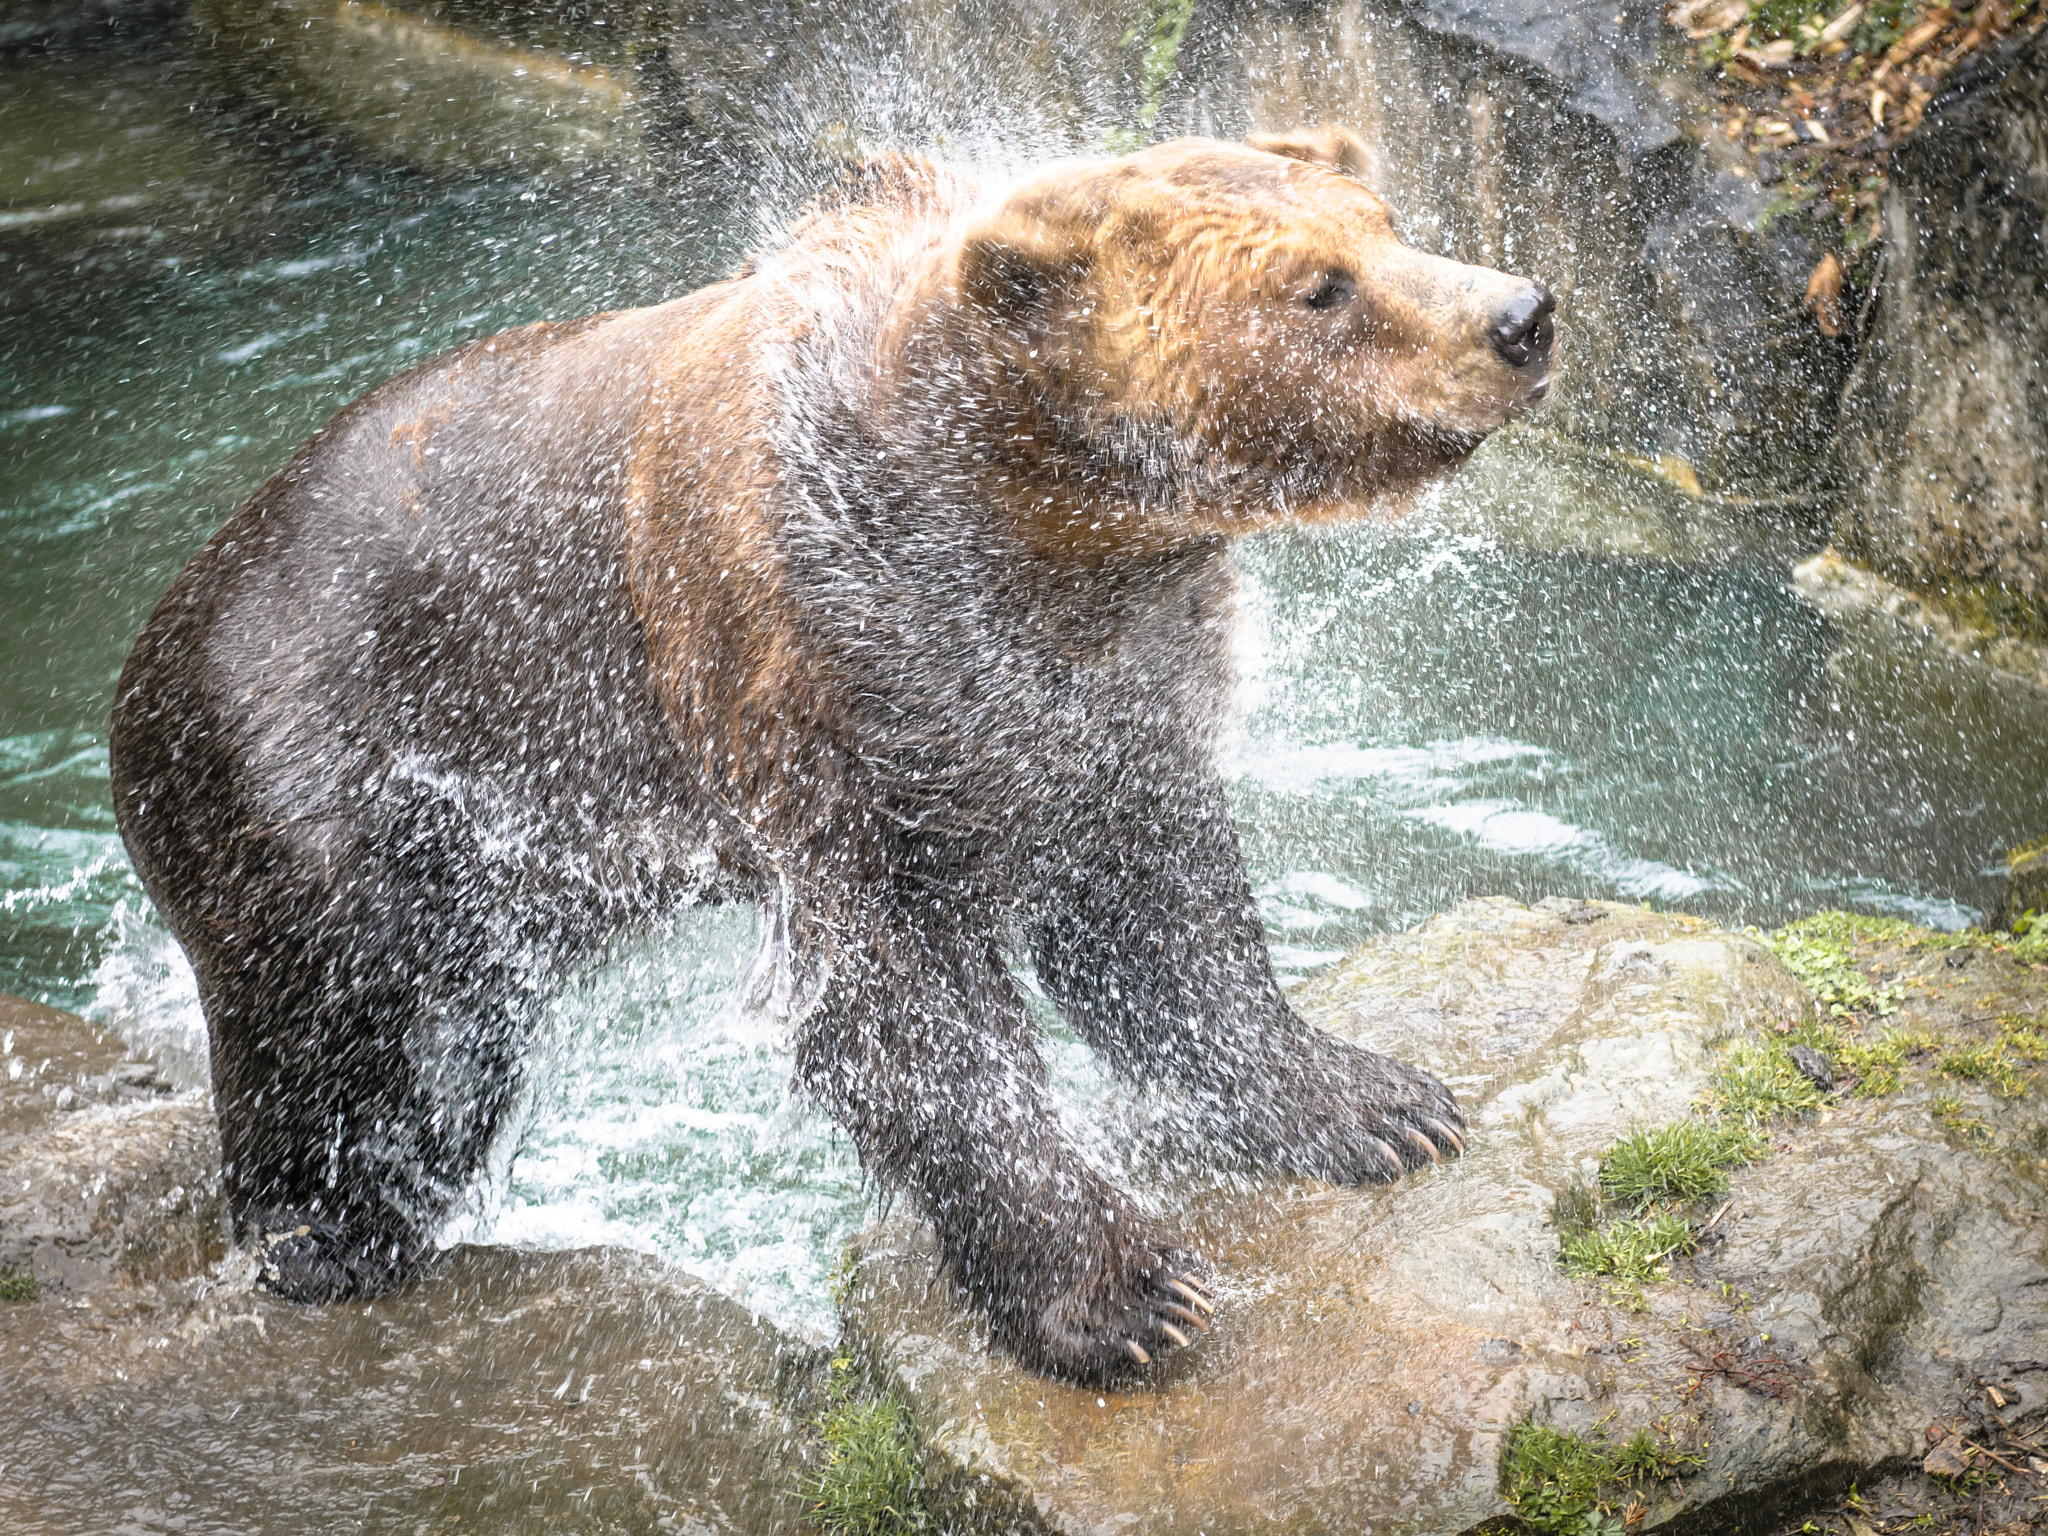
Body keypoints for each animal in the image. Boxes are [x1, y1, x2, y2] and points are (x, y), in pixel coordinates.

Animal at [108, 126, 1554, 1382]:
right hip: (336, 781)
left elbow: (1158, 917)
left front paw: (1375, 1103)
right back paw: (326, 1237)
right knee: (357, 1041)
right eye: (1317, 286)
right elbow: (905, 1011)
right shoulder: (831, 672)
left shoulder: (1104, 693)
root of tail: (153, 638)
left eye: (1384, 222)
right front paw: (1126, 1295)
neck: (1045, 530)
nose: (1520, 312)